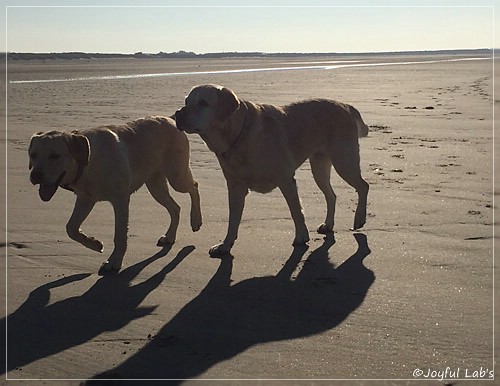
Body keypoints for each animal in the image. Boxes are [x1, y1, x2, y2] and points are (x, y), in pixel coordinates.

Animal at [28, 116, 201, 272]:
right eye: (33, 155)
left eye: (55, 156)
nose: (35, 175)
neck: (89, 160)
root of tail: (170, 119)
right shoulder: (85, 199)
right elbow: (71, 228)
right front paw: (94, 244)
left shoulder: (121, 200)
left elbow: (119, 235)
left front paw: (114, 262)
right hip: (155, 186)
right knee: (175, 208)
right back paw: (170, 236)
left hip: (176, 176)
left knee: (194, 187)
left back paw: (196, 220)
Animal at [175, 86, 368, 258]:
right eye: (186, 101)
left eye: (203, 103)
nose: (178, 113)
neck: (238, 136)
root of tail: (346, 105)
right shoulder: (235, 187)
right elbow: (233, 220)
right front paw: (225, 245)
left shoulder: (285, 179)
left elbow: (296, 211)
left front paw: (301, 237)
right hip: (319, 166)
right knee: (331, 195)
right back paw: (328, 224)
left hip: (344, 161)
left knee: (363, 186)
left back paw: (359, 218)